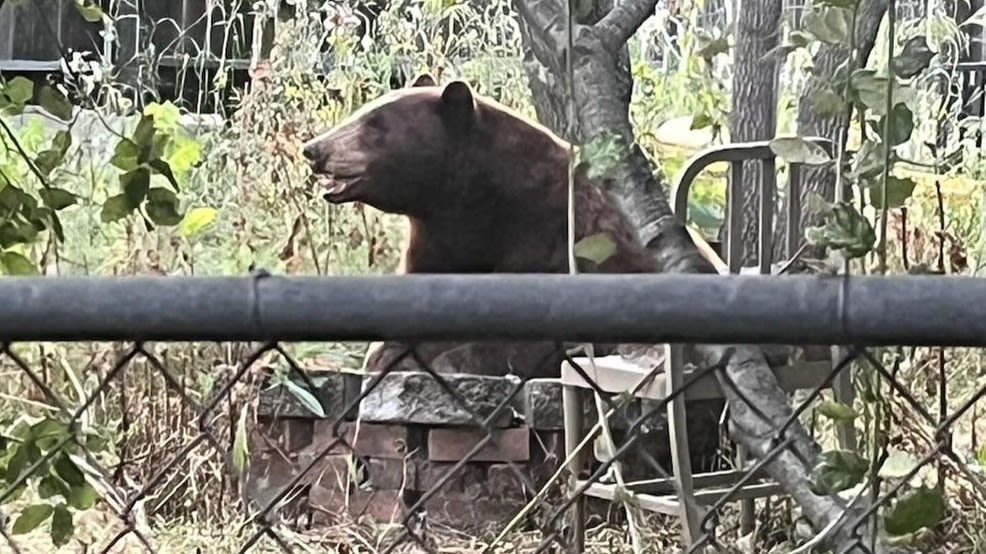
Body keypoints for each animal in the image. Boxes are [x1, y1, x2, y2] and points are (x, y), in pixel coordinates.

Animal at [300, 74, 652, 380]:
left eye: (374, 123)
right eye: (361, 113)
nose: (314, 149)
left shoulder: (558, 239)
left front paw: (446, 360)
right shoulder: (436, 242)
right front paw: (391, 353)